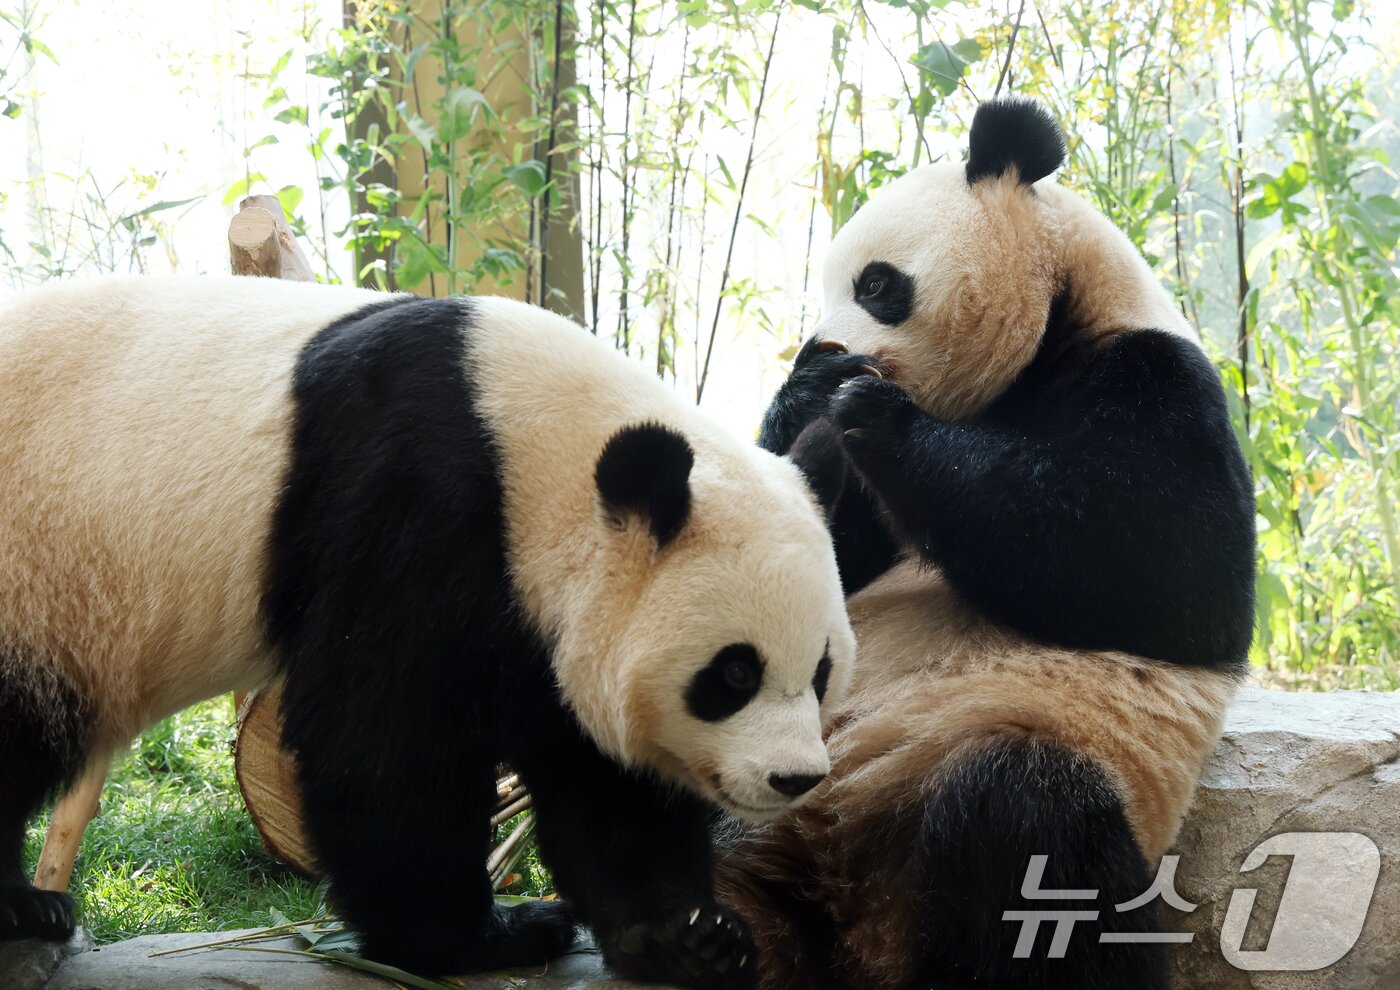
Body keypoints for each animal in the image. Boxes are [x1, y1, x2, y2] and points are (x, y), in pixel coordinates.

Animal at [0, 275, 857, 990]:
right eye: (734, 673)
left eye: (820, 671)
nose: (794, 778)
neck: (534, 448)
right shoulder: (415, 505)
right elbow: (384, 742)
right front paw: (482, 936)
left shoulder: (539, 618)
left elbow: (601, 776)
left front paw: (689, 937)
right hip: (39, 579)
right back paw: (25, 908)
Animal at [714, 99, 1254, 990]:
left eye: (876, 284)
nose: (823, 348)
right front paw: (809, 394)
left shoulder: (1160, 381)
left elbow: (1164, 568)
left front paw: (876, 414)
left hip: (1015, 760)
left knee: (1027, 829)